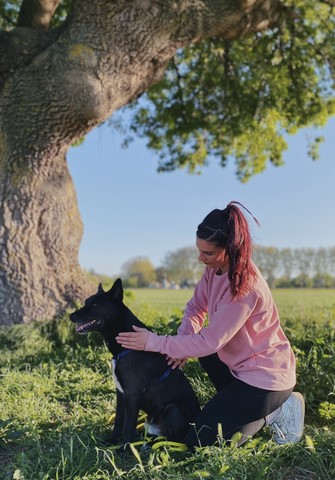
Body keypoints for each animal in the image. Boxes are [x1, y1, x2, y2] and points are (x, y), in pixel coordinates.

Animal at [70, 278, 201, 446]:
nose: (71, 316)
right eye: (86, 302)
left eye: (94, 305)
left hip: (173, 409)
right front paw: (113, 440)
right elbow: (119, 420)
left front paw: (124, 447)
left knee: (176, 439)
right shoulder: (120, 392)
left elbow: (129, 424)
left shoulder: (131, 395)